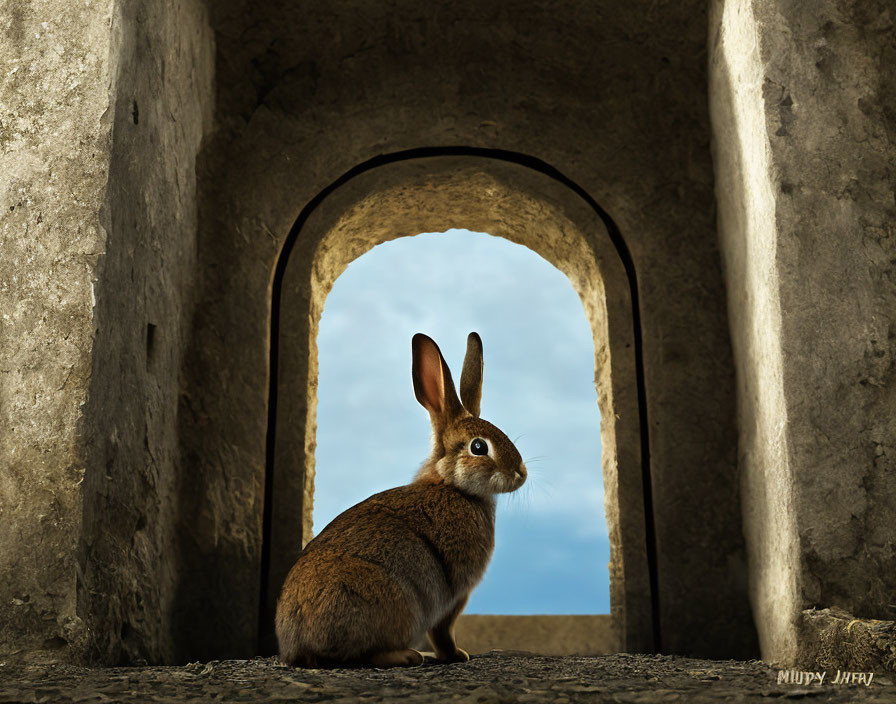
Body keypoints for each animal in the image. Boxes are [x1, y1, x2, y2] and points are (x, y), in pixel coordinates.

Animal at [272, 332, 524, 668]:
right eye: (479, 447)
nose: (521, 473)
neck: (452, 486)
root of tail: (297, 648)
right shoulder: (454, 596)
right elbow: (443, 631)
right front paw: (456, 655)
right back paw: (409, 655)